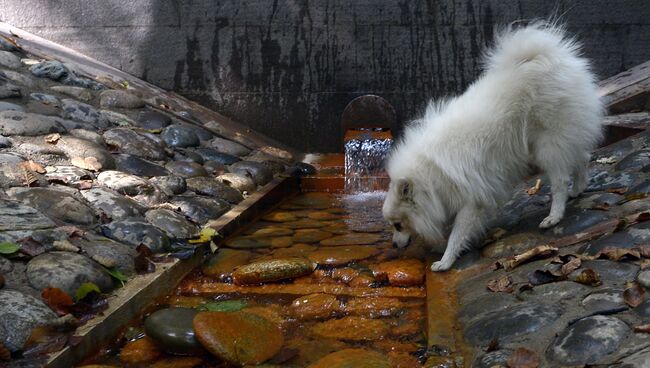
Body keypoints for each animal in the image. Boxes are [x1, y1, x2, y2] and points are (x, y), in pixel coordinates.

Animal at [382, 22, 600, 270]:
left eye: (398, 225)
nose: (395, 245)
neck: (429, 177)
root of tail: (543, 56)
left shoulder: (471, 199)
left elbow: (458, 233)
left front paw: (445, 261)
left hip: (548, 144)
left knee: (560, 179)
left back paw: (554, 216)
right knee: (582, 156)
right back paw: (578, 188)